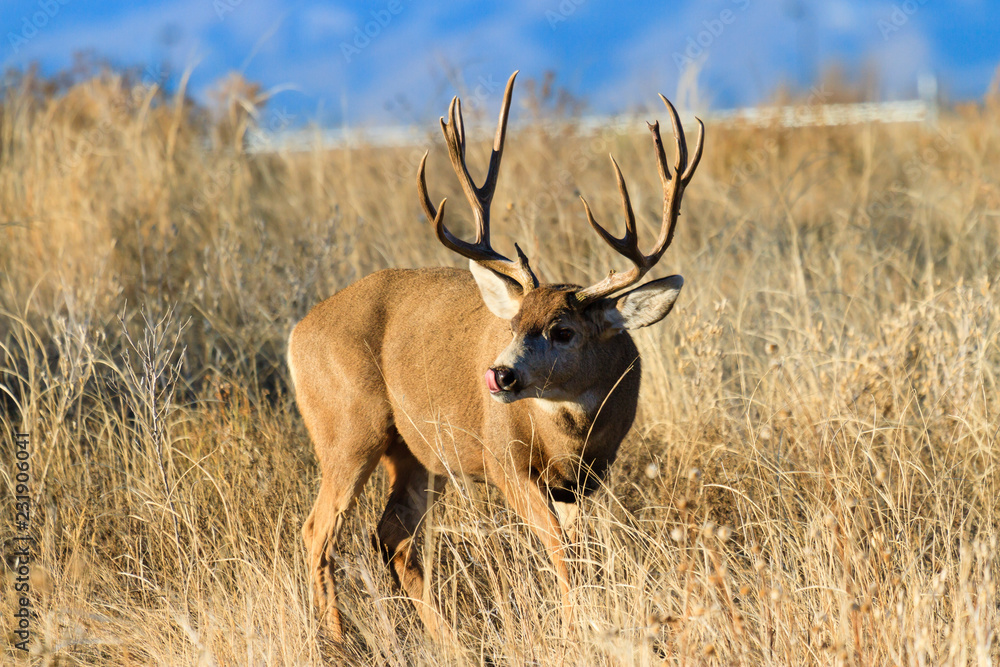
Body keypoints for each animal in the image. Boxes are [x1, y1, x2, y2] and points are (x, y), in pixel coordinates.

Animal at [288, 71, 703, 642]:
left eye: (563, 330)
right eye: (513, 322)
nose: (499, 375)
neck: (570, 435)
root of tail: (298, 332)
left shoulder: (587, 481)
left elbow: (582, 553)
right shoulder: (506, 463)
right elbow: (561, 550)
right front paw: (575, 629)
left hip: (418, 452)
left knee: (392, 532)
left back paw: (449, 641)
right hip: (348, 428)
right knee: (319, 529)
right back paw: (337, 639)